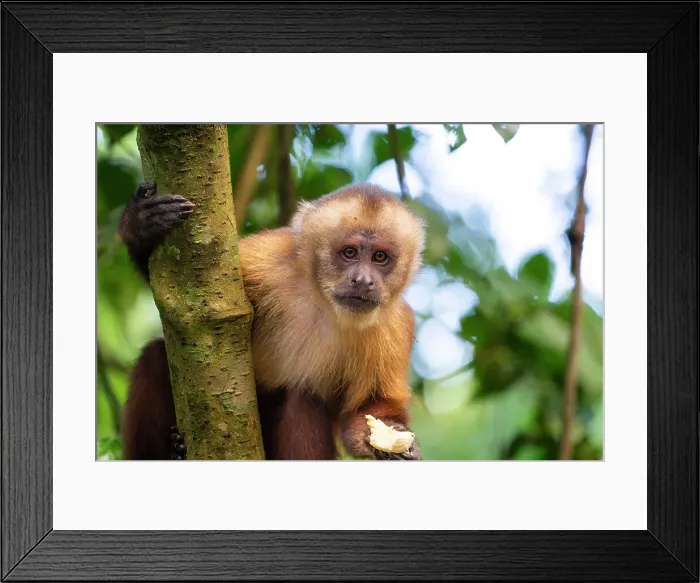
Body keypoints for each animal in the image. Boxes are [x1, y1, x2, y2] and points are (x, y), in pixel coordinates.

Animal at [119, 180, 425, 461]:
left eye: (380, 257)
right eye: (349, 252)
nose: (362, 281)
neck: (324, 304)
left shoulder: (395, 325)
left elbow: (370, 407)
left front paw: (386, 438)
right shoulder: (266, 260)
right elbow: (181, 299)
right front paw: (141, 223)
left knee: (301, 398)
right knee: (155, 355)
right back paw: (164, 455)